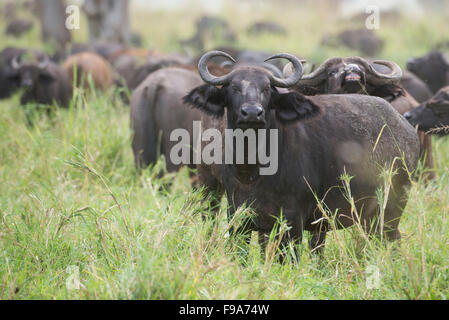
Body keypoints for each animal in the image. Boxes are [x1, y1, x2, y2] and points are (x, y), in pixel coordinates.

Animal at [180, 50, 418, 255]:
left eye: (267, 88)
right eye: (233, 87)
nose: (252, 113)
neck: (251, 169)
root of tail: (406, 129)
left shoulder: (294, 220)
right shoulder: (238, 215)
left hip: (391, 207)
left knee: (391, 239)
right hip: (208, 185)